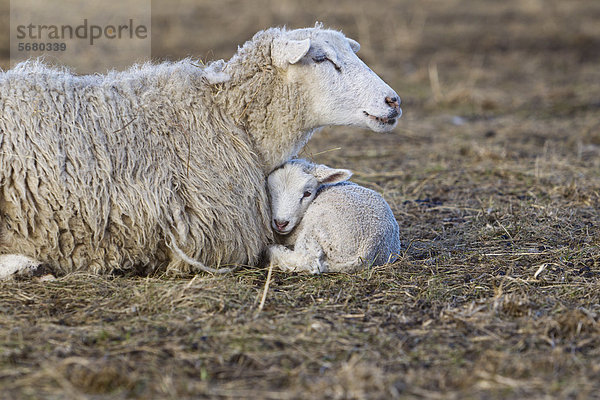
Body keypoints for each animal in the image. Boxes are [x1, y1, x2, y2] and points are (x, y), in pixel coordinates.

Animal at [266, 159, 398, 276]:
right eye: (269, 192)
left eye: (307, 193)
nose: (281, 223)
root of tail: (368, 250)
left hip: (318, 227)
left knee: (308, 260)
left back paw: (272, 250)